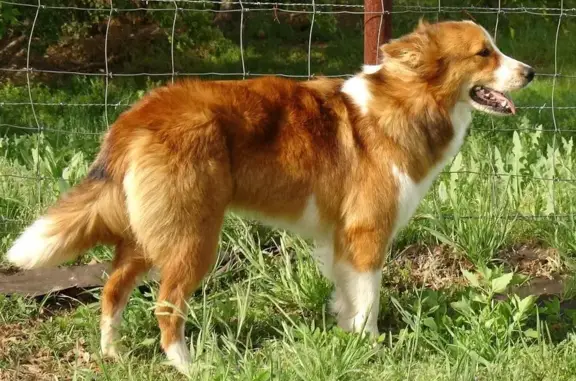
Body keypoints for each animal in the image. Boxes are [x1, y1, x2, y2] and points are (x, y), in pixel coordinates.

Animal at [6, 19, 532, 372]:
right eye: (484, 54)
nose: (530, 72)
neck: (408, 101)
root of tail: (141, 113)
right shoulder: (368, 235)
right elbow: (368, 303)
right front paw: (370, 350)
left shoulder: (340, 238)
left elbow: (347, 298)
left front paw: (347, 340)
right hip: (194, 238)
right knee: (165, 304)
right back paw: (188, 367)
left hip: (150, 234)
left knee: (113, 290)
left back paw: (112, 354)